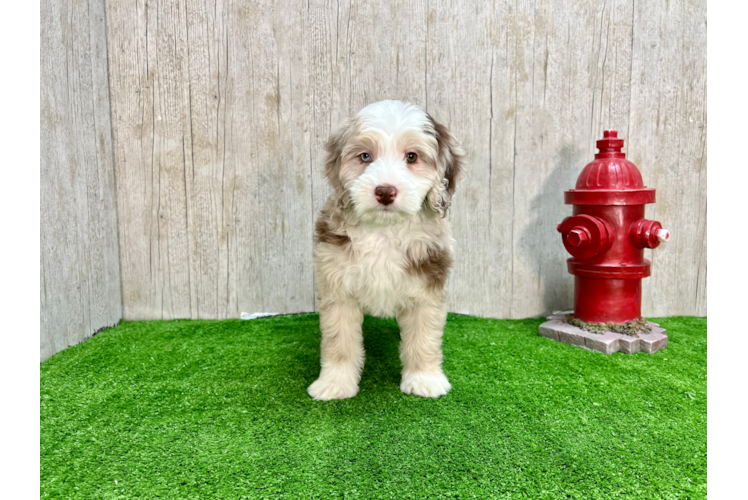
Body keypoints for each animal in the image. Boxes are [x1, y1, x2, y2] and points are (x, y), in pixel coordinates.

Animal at [308, 99, 462, 400]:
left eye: (412, 157)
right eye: (365, 156)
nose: (385, 191)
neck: (384, 230)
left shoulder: (427, 284)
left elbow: (424, 338)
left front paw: (424, 379)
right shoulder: (337, 285)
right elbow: (339, 342)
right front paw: (335, 384)